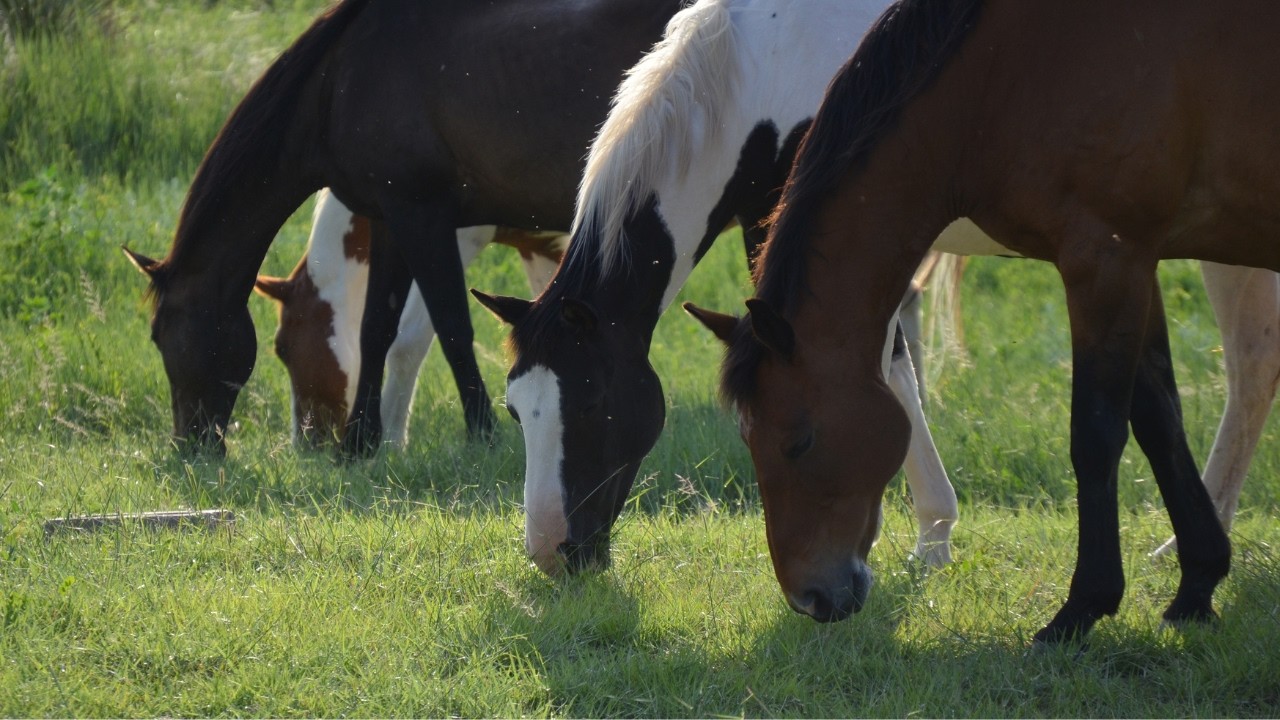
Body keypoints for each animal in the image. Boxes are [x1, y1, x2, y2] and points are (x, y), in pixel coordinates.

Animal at [252, 190, 566, 448]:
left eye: (281, 349)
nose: (306, 443)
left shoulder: (447, 234)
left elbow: (408, 342)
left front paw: (391, 439)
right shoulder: (537, 248)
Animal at [472, 0, 1280, 576]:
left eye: (592, 402)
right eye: (517, 411)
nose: (551, 552)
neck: (758, 70)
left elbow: (887, 367)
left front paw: (932, 536)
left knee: (1248, 374)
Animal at [687, 0, 1280, 643]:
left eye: (798, 442)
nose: (809, 598)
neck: (999, 81)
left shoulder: (1104, 259)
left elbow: (1096, 434)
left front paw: (1082, 607)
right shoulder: (1137, 263)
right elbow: (1160, 422)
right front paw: (1197, 583)